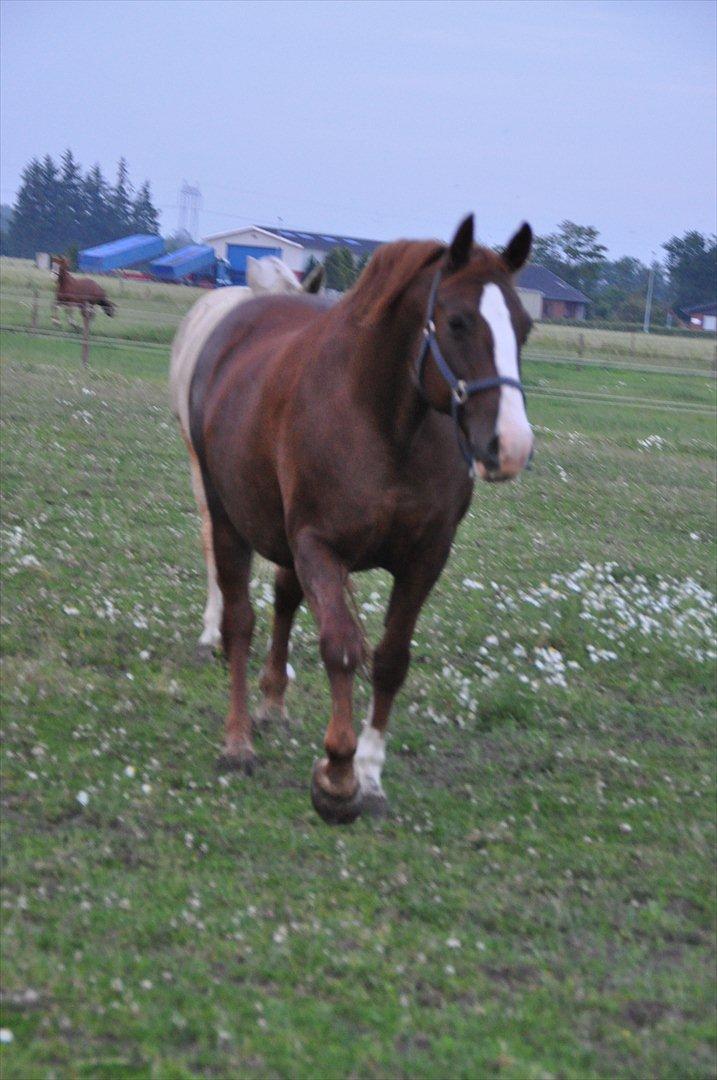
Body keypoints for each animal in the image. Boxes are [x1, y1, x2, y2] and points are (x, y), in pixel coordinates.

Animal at [187, 219, 535, 825]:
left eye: (525, 326)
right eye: (458, 321)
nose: (510, 445)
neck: (383, 421)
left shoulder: (425, 557)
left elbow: (391, 659)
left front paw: (369, 775)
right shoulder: (319, 547)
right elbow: (343, 648)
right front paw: (337, 775)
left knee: (282, 603)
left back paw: (270, 705)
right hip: (229, 520)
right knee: (240, 622)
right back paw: (237, 741)